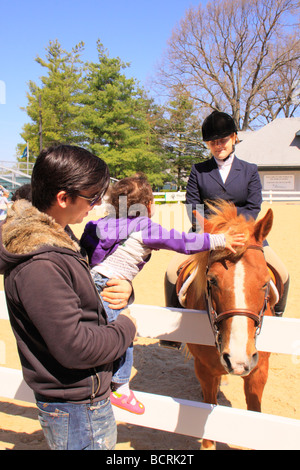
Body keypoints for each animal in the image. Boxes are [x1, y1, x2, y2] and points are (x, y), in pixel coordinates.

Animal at [164, 200, 278, 450]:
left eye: (265, 282)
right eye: (212, 280)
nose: (237, 358)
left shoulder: (258, 371)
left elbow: (255, 412)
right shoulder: (204, 370)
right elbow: (209, 411)